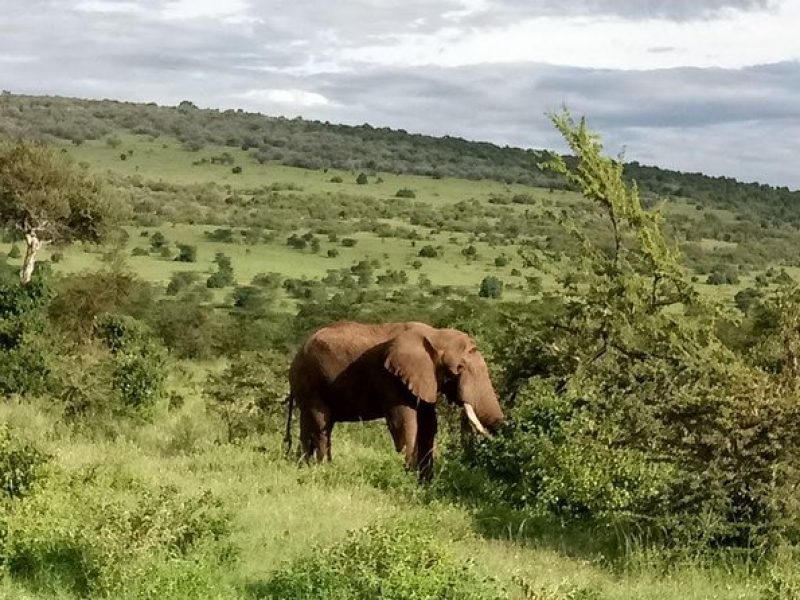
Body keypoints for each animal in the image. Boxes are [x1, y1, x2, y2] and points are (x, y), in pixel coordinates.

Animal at [284, 322, 504, 480]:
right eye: (458, 369)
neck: (436, 335)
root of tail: (297, 354)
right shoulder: (390, 378)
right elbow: (404, 423)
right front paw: (407, 476)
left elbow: (428, 425)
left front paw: (425, 482)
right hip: (311, 382)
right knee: (321, 424)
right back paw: (323, 469)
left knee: (312, 426)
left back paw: (304, 466)